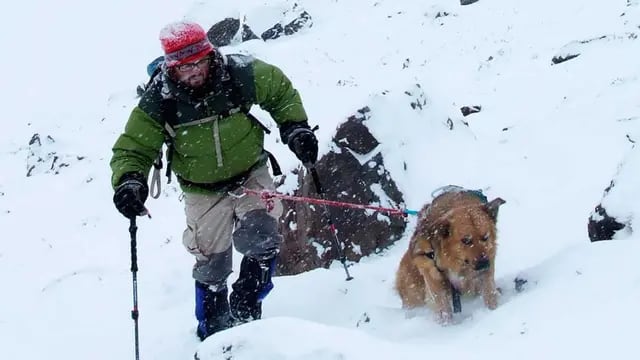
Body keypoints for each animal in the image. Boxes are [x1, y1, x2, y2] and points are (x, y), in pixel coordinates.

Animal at [396, 188, 504, 324]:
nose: (484, 263)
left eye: (485, 237)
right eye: (466, 240)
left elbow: (489, 292)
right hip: (415, 291)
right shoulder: (434, 278)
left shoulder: (487, 266)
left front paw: (493, 310)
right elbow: (443, 308)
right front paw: (448, 326)